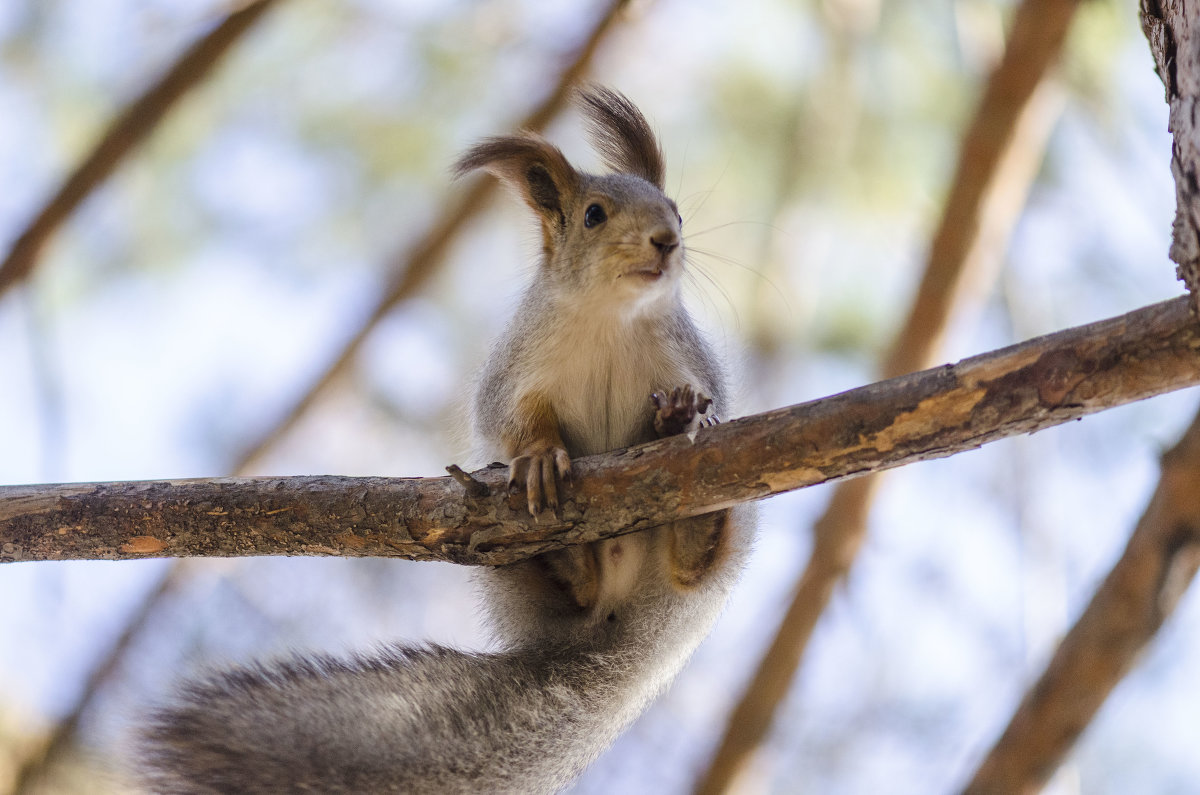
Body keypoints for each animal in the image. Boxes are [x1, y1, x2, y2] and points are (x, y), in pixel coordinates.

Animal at [142, 87, 748, 795]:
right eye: (594, 215)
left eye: (674, 209)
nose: (667, 239)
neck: (612, 318)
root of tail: (630, 626)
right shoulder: (514, 374)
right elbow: (516, 421)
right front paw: (540, 457)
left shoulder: (690, 361)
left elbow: (705, 399)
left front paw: (680, 416)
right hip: (512, 568)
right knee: (570, 585)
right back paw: (566, 557)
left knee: (694, 562)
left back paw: (691, 507)